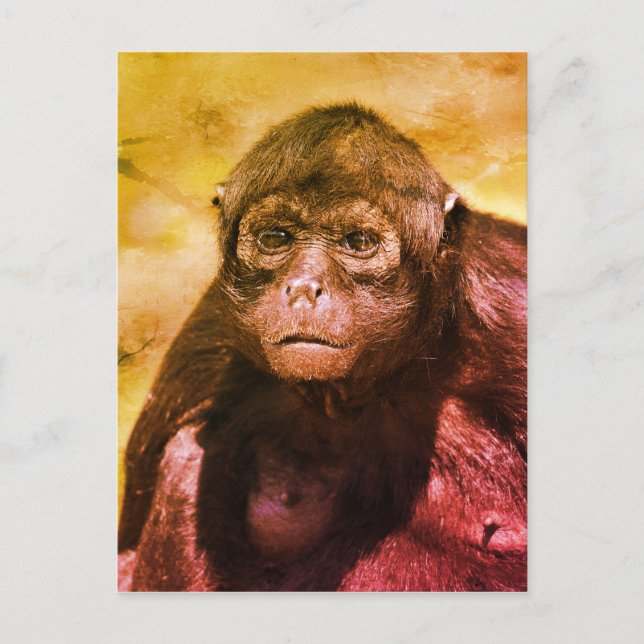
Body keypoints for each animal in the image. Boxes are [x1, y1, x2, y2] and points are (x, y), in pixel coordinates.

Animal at [118, 102, 527, 591]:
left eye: (358, 241)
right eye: (275, 238)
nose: (303, 287)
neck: (381, 387)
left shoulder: (511, 307)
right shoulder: (207, 340)